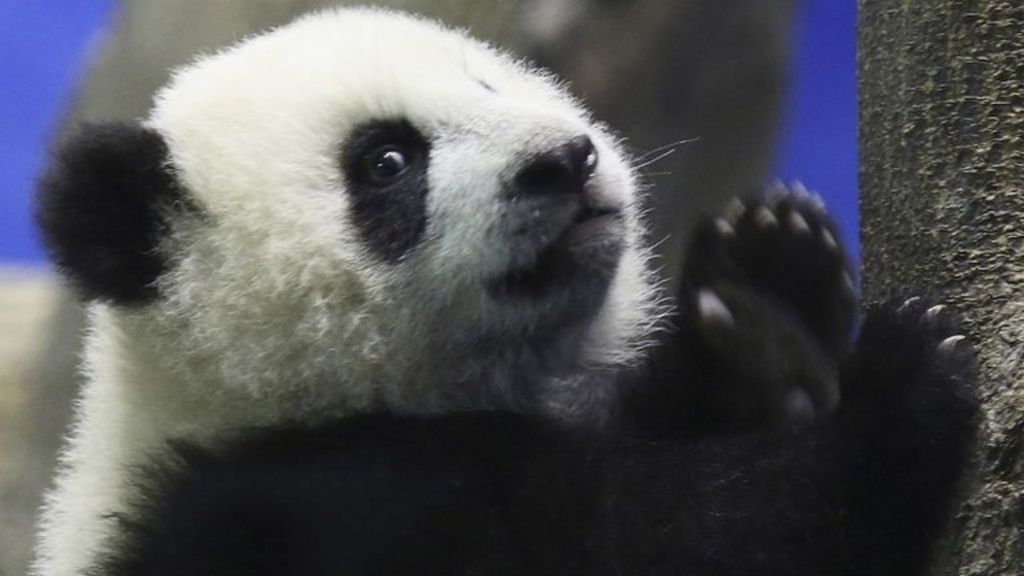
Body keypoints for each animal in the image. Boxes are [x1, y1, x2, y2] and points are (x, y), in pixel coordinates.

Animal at [32, 7, 976, 576]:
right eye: (387, 160)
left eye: (486, 82)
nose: (565, 161)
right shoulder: (313, 508)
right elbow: (668, 539)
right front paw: (895, 389)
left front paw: (768, 281)